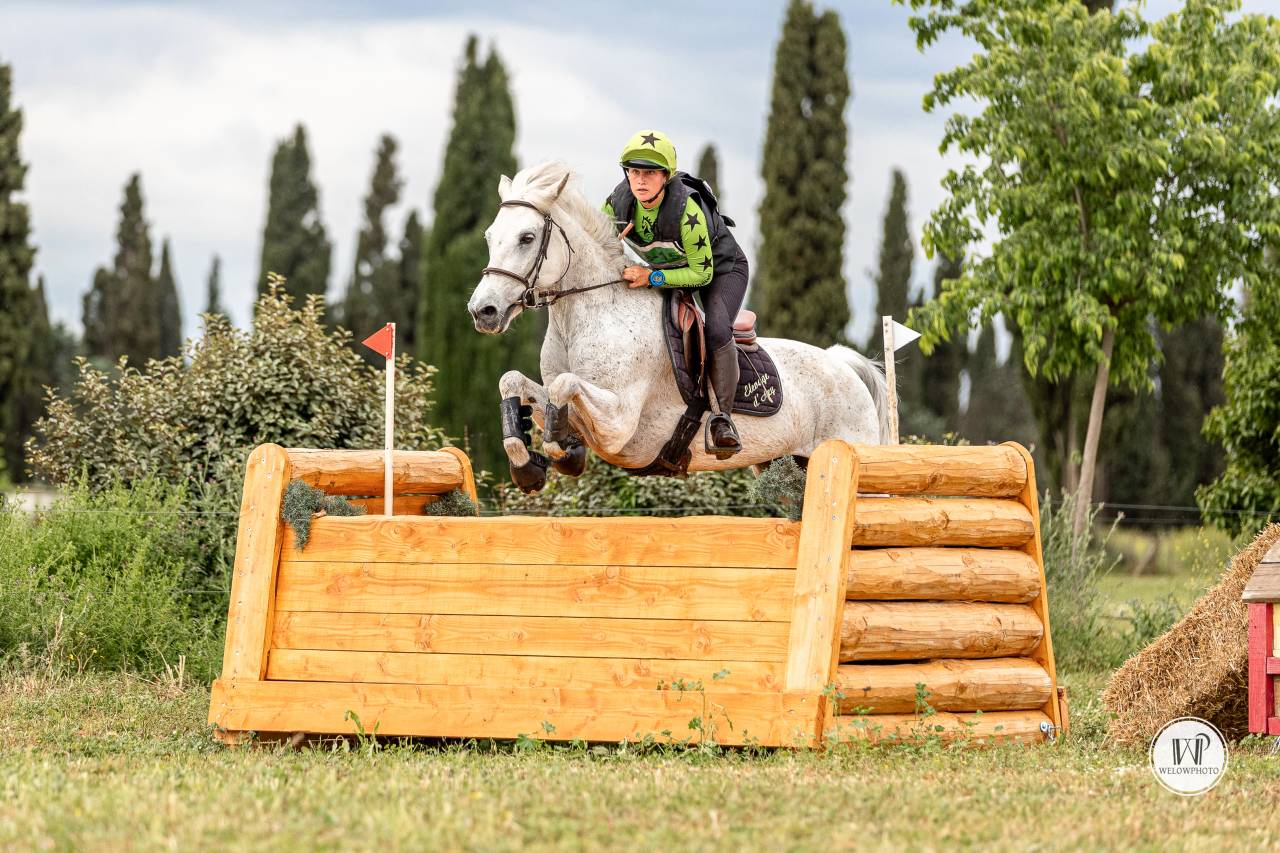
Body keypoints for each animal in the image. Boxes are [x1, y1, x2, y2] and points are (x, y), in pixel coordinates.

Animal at [467, 160, 889, 491]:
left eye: (527, 238)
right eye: (490, 236)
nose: (482, 311)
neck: (589, 312)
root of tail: (842, 364)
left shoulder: (619, 423)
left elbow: (563, 386)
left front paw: (563, 450)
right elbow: (513, 382)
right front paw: (529, 466)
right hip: (787, 466)